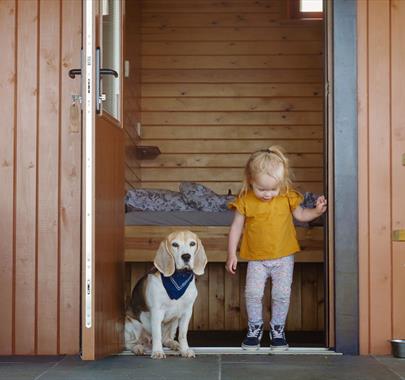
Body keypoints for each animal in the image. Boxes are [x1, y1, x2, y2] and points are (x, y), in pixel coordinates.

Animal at [124, 229, 207, 360]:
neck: (179, 277)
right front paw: (158, 351)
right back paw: (138, 348)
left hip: (173, 322)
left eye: (192, 244)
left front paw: (185, 350)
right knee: (130, 343)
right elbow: (157, 333)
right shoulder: (157, 312)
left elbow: (183, 334)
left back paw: (175, 344)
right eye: (175, 244)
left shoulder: (186, 312)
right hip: (132, 325)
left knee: (166, 339)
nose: (186, 256)